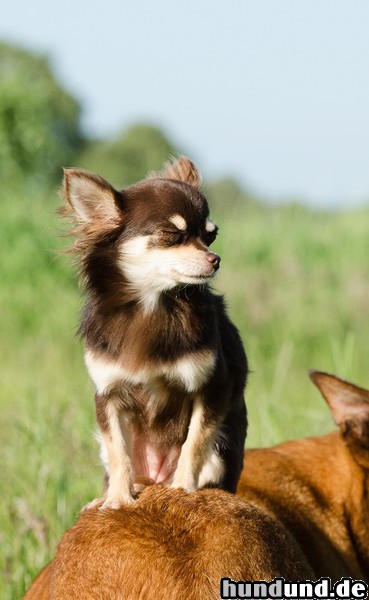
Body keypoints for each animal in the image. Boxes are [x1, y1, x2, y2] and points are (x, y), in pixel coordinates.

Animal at [61, 157, 247, 508]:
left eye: (210, 236)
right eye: (171, 234)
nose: (215, 259)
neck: (152, 303)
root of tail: (156, 477)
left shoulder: (213, 388)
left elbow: (193, 443)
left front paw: (183, 489)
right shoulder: (109, 394)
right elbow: (119, 453)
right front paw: (118, 499)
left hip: (222, 447)